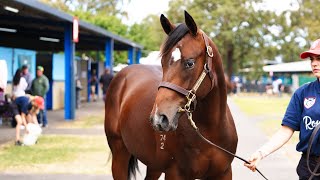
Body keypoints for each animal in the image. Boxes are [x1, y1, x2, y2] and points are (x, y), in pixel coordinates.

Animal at [105, 10, 238, 179]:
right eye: (162, 62)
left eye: (189, 63)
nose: (159, 118)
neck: (210, 132)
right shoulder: (175, 173)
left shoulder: (224, 172)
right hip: (119, 155)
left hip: (154, 166)